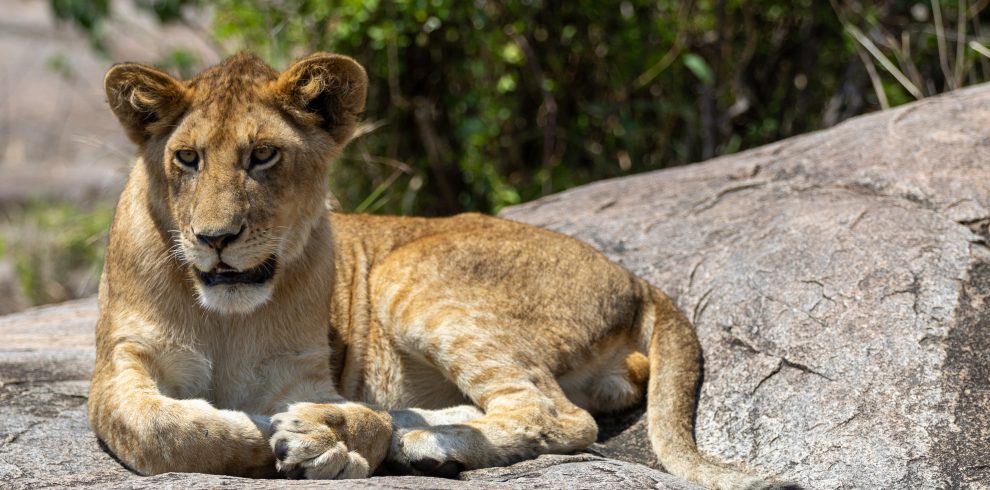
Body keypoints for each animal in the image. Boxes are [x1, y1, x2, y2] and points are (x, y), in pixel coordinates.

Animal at [87, 52, 790, 489]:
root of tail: (636, 278)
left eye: (262, 156)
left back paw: (422, 443)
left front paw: (330, 437)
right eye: (187, 158)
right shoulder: (120, 362)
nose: (215, 239)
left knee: (557, 414)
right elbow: (161, 428)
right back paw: (414, 429)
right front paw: (278, 431)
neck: (227, 318)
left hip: (408, 275)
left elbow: (326, 414)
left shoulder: (303, 374)